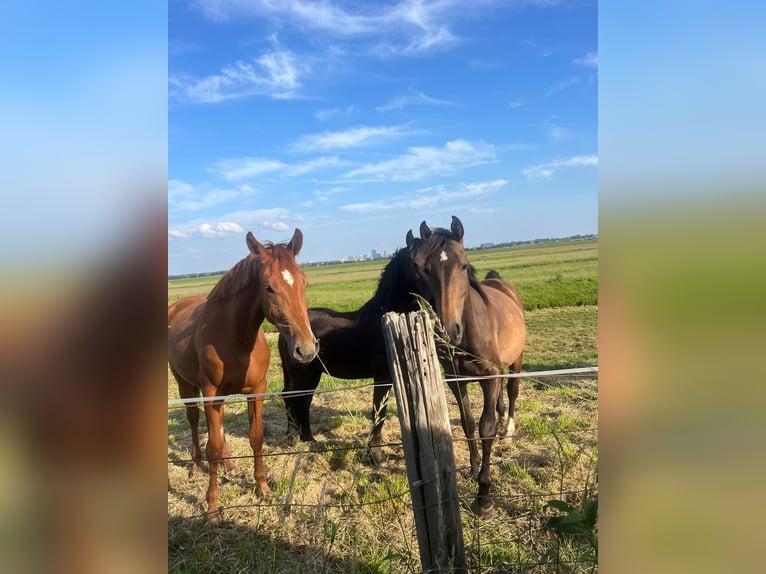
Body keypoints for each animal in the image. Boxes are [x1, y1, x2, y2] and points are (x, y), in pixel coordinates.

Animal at [170, 231, 320, 528]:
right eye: (269, 287)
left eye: (304, 282)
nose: (306, 349)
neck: (235, 338)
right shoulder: (211, 393)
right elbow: (213, 447)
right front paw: (212, 508)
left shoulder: (256, 391)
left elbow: (255, 437)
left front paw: (263, 488)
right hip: (185, 386)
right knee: (194, 421)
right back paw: (195, 466)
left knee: (218, 428)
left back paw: (229, 464)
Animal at [408, 217, 528, 516]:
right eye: (425, 268)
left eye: (463, 264)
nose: (450, 330)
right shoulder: (455, 379)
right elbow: (468, 422)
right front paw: (473, 468)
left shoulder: (490, 376)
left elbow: (486, 427)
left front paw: (483, 495)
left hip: (516, 360)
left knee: (512, 390)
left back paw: (508, 429)